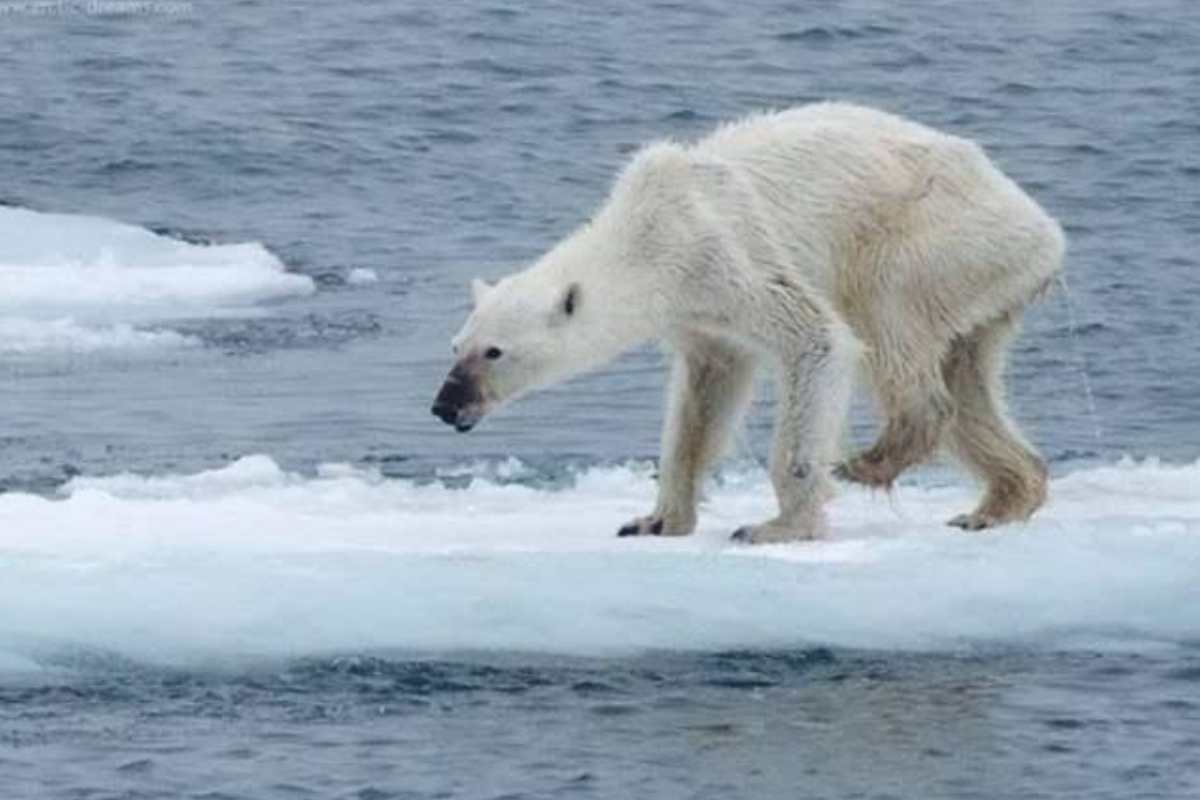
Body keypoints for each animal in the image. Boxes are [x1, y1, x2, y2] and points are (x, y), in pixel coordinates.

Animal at [432, 102, 1065, 543]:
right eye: (456, 344)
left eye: (494, 352)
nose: (445, 405)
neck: (647, 233)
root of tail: (1045, 229)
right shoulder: (698, 315)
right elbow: (703, 399)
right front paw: (655, 520)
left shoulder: (726, 254)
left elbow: (818, 340)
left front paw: (777, 526)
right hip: (984, 282)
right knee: (968, 379)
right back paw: (997, 502)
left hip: (935, 239)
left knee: (889, 321)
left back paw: (872, 459)